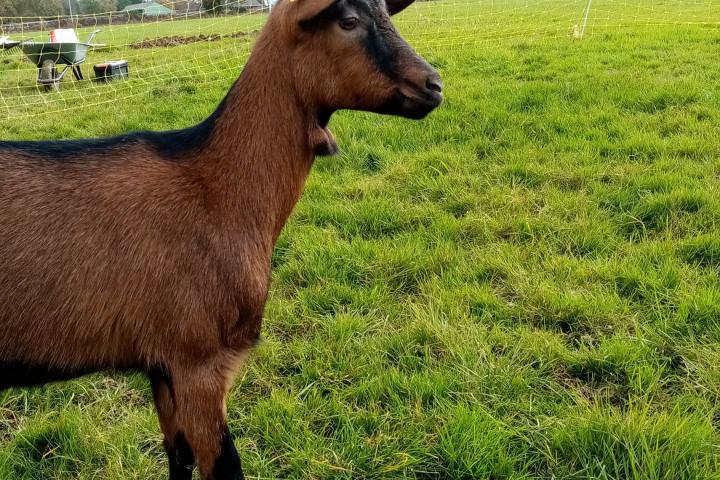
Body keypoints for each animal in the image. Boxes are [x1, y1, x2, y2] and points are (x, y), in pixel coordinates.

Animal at [0, 0, 442, 478]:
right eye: (348, 21)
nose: (434, 85)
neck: (215, 190)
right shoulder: (199, 361)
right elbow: (224, 465)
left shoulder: (162, 366)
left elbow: (179, 457)